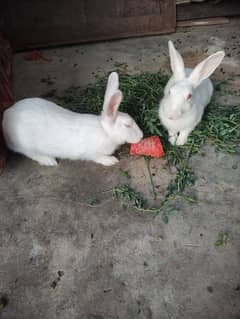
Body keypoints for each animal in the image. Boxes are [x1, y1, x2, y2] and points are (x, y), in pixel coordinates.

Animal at [2, 73, 142, 168]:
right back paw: (49, 161)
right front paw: (111, 161)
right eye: (127, 125)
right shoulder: (92, 153)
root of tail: (7, 115)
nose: (141, 136)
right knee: (29, 153)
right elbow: (98, 157)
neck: (105, 132)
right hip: (26, 146)